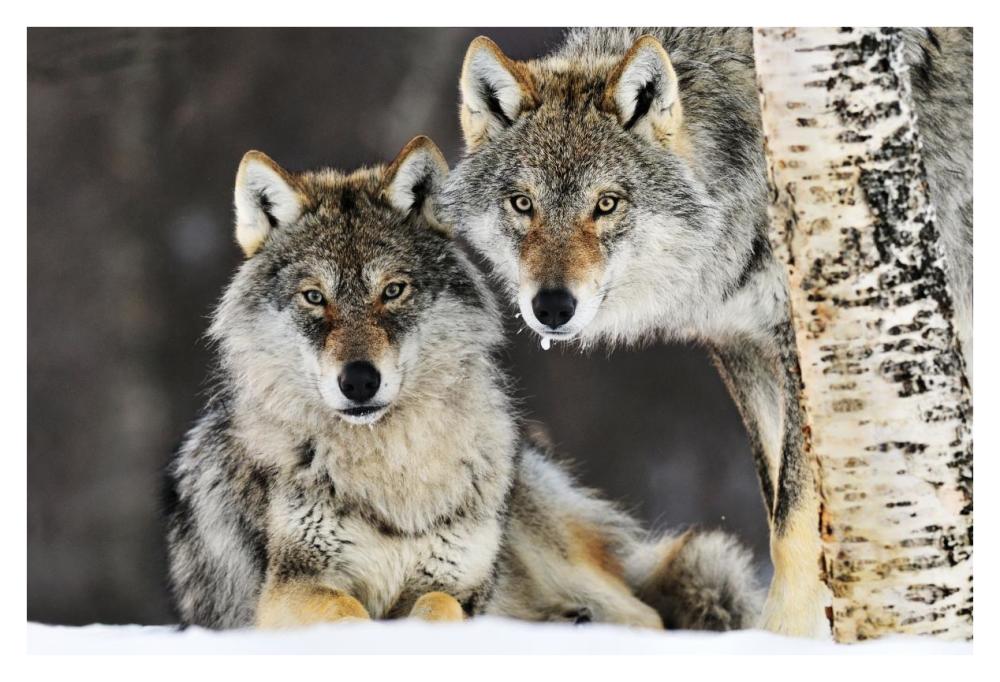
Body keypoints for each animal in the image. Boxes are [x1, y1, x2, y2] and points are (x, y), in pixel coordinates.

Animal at [163, 136, 762, 631]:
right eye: (314, 297)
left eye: (394, 290)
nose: (359, 381)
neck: (393, 469)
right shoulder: (290, 589)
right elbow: (347, 611)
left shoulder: (454, 583)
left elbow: (437, 607)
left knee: (648, 617)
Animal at [440, 28, 972, 637]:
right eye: (523, 204)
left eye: (606, 204)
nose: (552, 306)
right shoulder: (742, 345)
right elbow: (775, 502)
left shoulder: (801, 345)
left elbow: (793, 521)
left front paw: (783, 638)